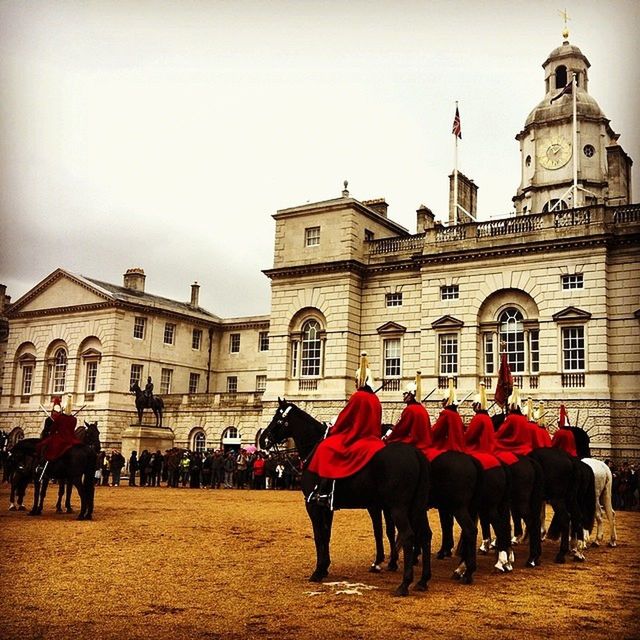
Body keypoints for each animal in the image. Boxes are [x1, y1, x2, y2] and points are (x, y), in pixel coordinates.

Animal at [258, 400, 430, 596]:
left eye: (278, 418)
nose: (262, 439)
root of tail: (415, 452)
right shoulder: (328, 506)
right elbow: (327, 534)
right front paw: (325, 567)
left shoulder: (313, 505)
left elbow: (319, 535)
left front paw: (318, 571)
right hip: (416, 507)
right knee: (424, 535)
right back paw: (423, 580)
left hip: (398, 508)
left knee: (408, 535)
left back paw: (404, 584)